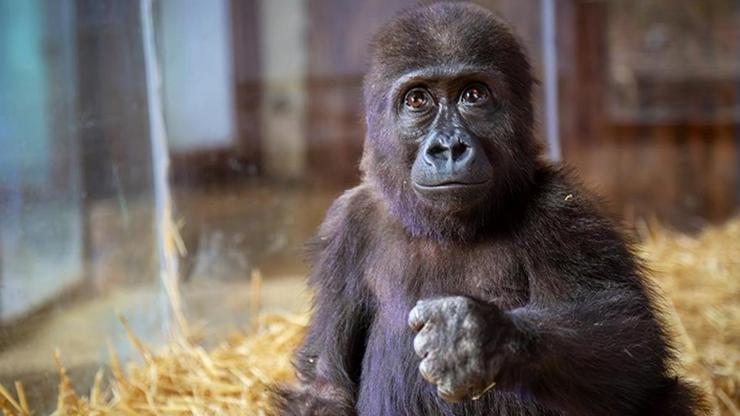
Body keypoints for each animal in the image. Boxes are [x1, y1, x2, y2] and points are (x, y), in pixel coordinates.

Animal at [272, 3, 704, 416]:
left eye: (474, 95)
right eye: (417, 100)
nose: (448, 147)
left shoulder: (564, 211)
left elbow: (632, 346)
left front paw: (479, 338)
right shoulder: (345, 228)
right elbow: (324, 387)